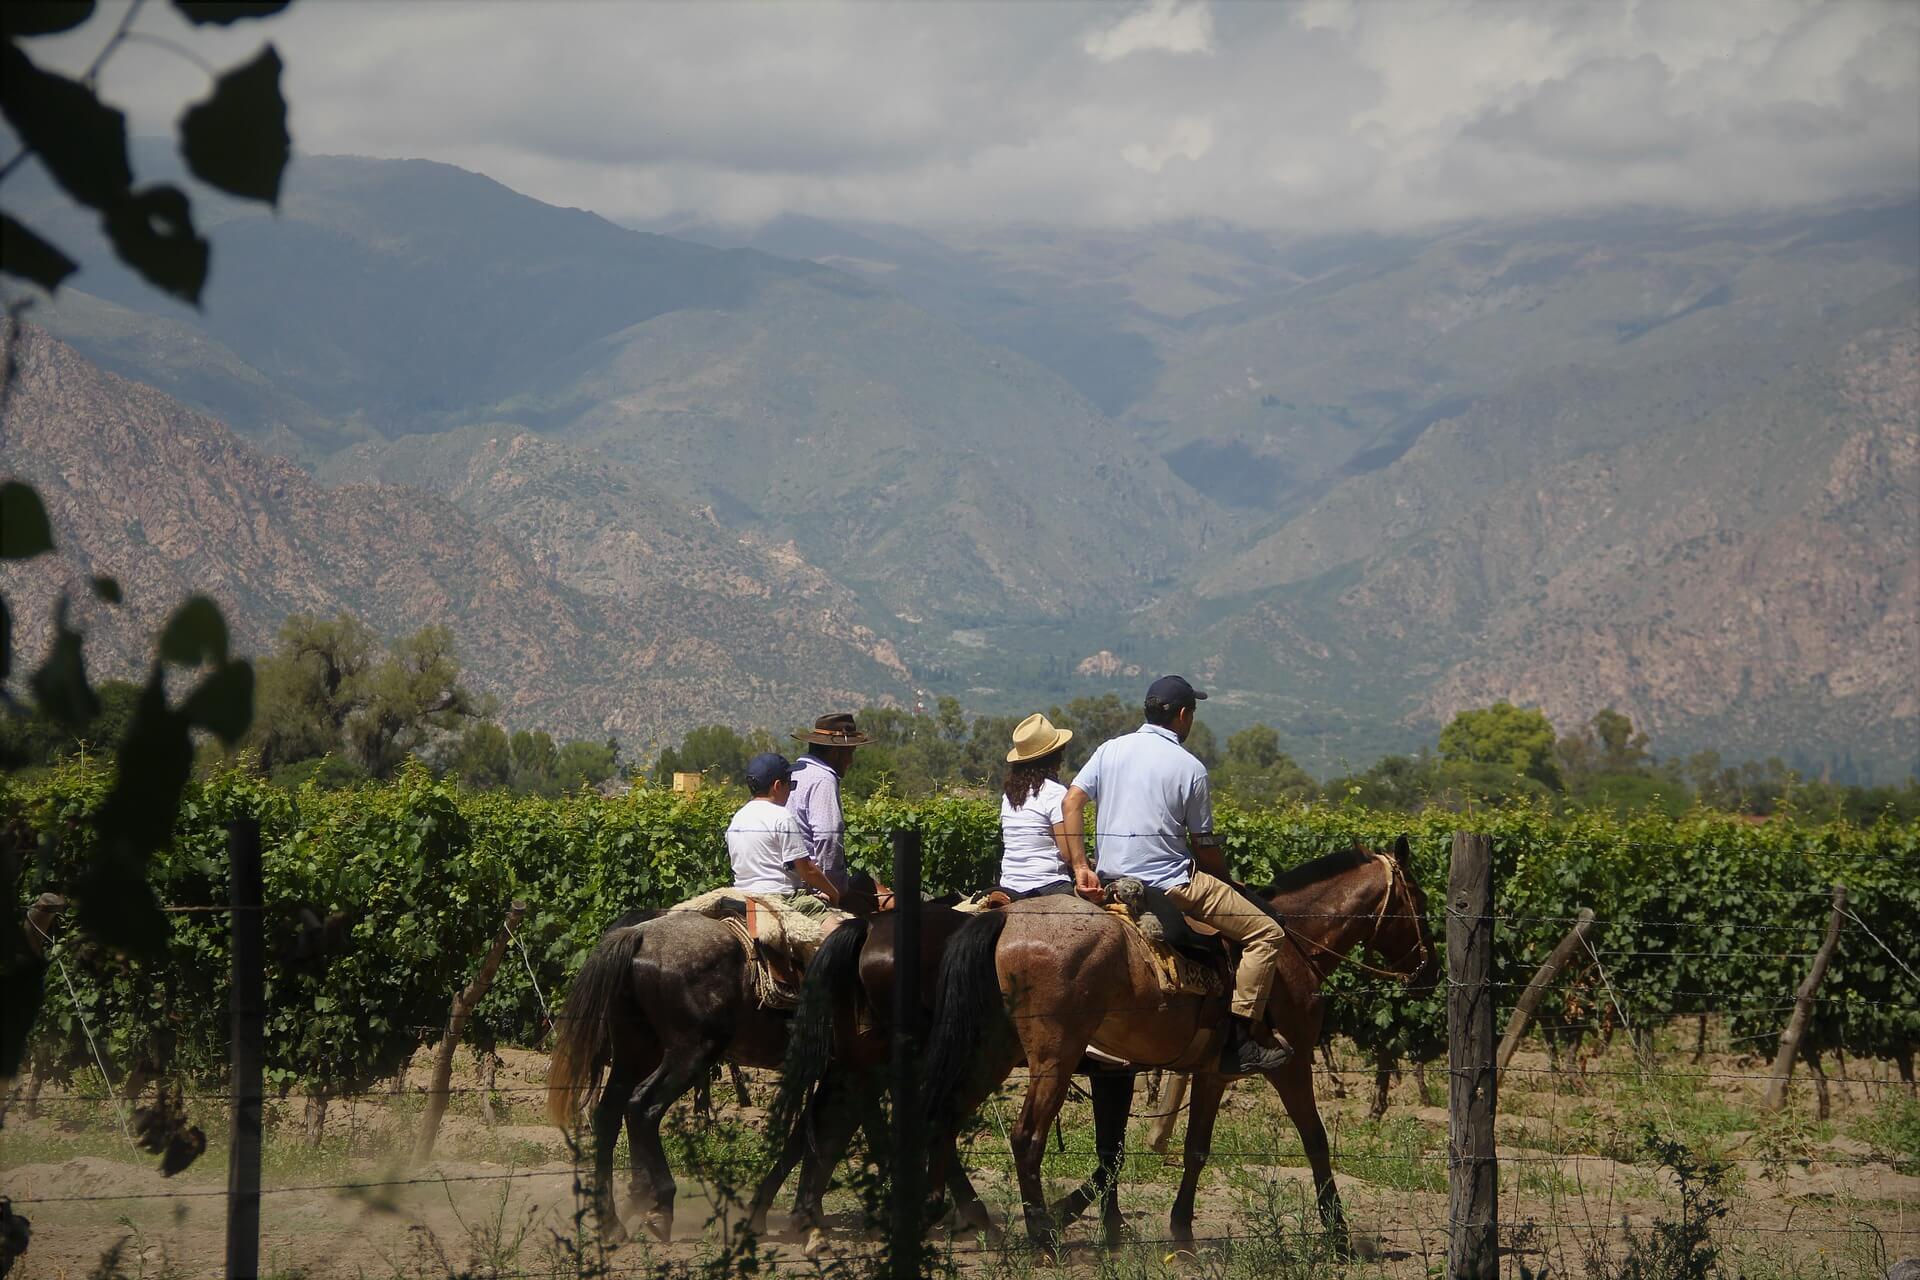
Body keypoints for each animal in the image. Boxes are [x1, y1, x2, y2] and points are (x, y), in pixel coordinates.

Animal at [921, 840, 1436, 1251]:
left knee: (945, 1116)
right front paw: (1339, 1235)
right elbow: (1315, 1140)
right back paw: (1039, 1238)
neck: (1291, 949)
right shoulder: (1291, 1066)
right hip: (1053, 1056)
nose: (1428, 971)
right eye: (1422, 899)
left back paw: (958, 1213)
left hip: (994, 1051)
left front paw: (1178, 1232)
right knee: (1025, 1137)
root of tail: (1004, 919)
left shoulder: (1210, 1071)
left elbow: (1190, 1149)